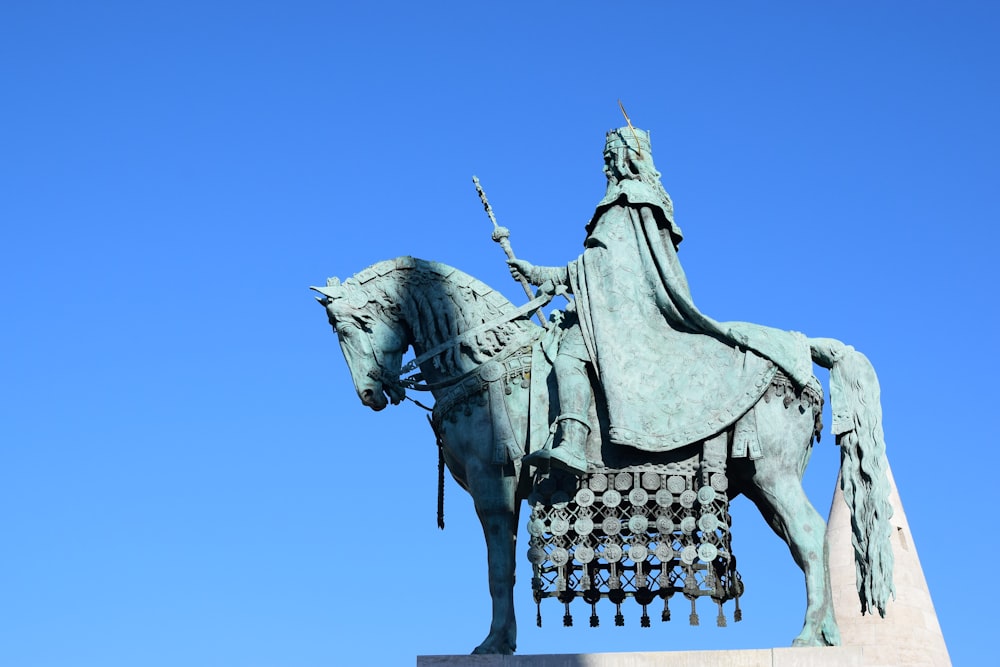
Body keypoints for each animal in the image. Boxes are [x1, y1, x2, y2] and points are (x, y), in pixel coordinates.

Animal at [316, 258, 896, 656]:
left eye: (351, 327)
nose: (371, 393)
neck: (484, 362)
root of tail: (804, 345)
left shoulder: (493, 485)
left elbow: (499, 568)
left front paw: (494, 644)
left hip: (772, 474)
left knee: (809, 535)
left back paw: (807, 637)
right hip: (760, 483)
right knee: (807, 541)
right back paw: (829, 635)